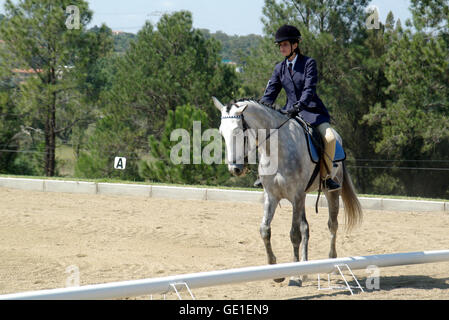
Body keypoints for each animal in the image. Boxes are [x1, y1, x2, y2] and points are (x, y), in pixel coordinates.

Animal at [212, 97, 362, 284]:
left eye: (239, 132)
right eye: (221, 133)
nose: (235, 169)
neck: (276, 150)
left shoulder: (296, 196)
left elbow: (294, 234)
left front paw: (295, 275)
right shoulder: (272, 196)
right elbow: (265, 230)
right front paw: (275, 270)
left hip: (330, 192)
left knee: (332, 225)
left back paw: (332, 264)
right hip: (302, 198)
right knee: (306, 227)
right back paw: (305, 268)